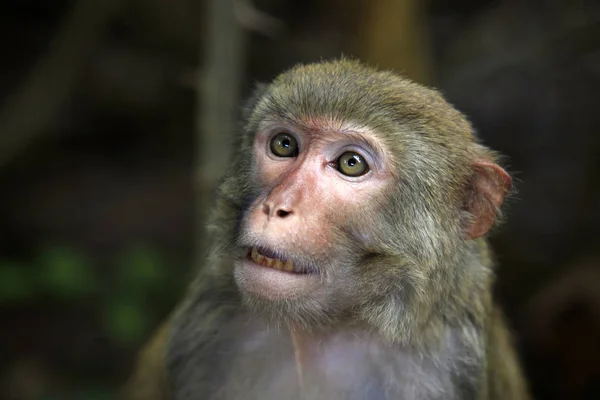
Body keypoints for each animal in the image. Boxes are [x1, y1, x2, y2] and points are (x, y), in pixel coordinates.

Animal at [123, 57, 528, 398]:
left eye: (351, 163)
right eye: (284, 144)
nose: (278, 206)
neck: (321, 330)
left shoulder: (442, 368)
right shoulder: (205, 331)